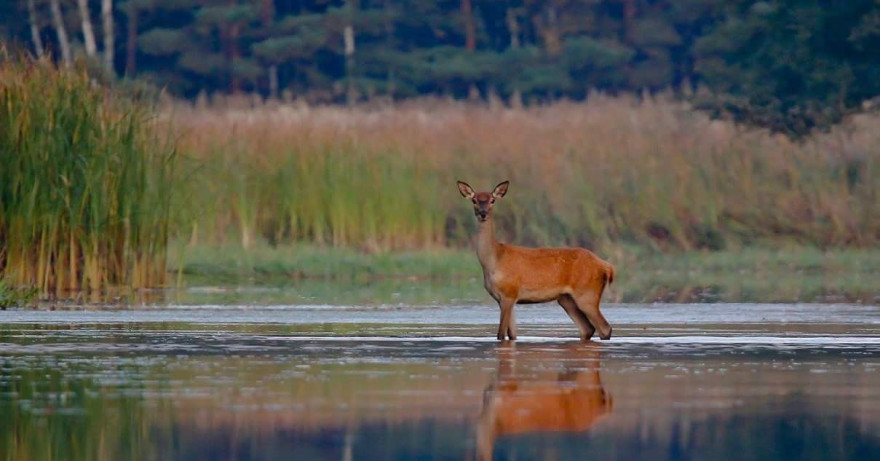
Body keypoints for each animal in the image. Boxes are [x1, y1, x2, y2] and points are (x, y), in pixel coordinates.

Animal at [458, 180, 616, 342]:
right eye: (474, 200)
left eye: (492, 200)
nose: (483, 213)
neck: (494, 260)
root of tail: (606, 266)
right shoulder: (503, 298)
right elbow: (512, 335)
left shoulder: (509, 293)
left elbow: (500, 334)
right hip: (566, 299)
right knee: (588, 328)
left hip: (587, 294)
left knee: (604, 328)